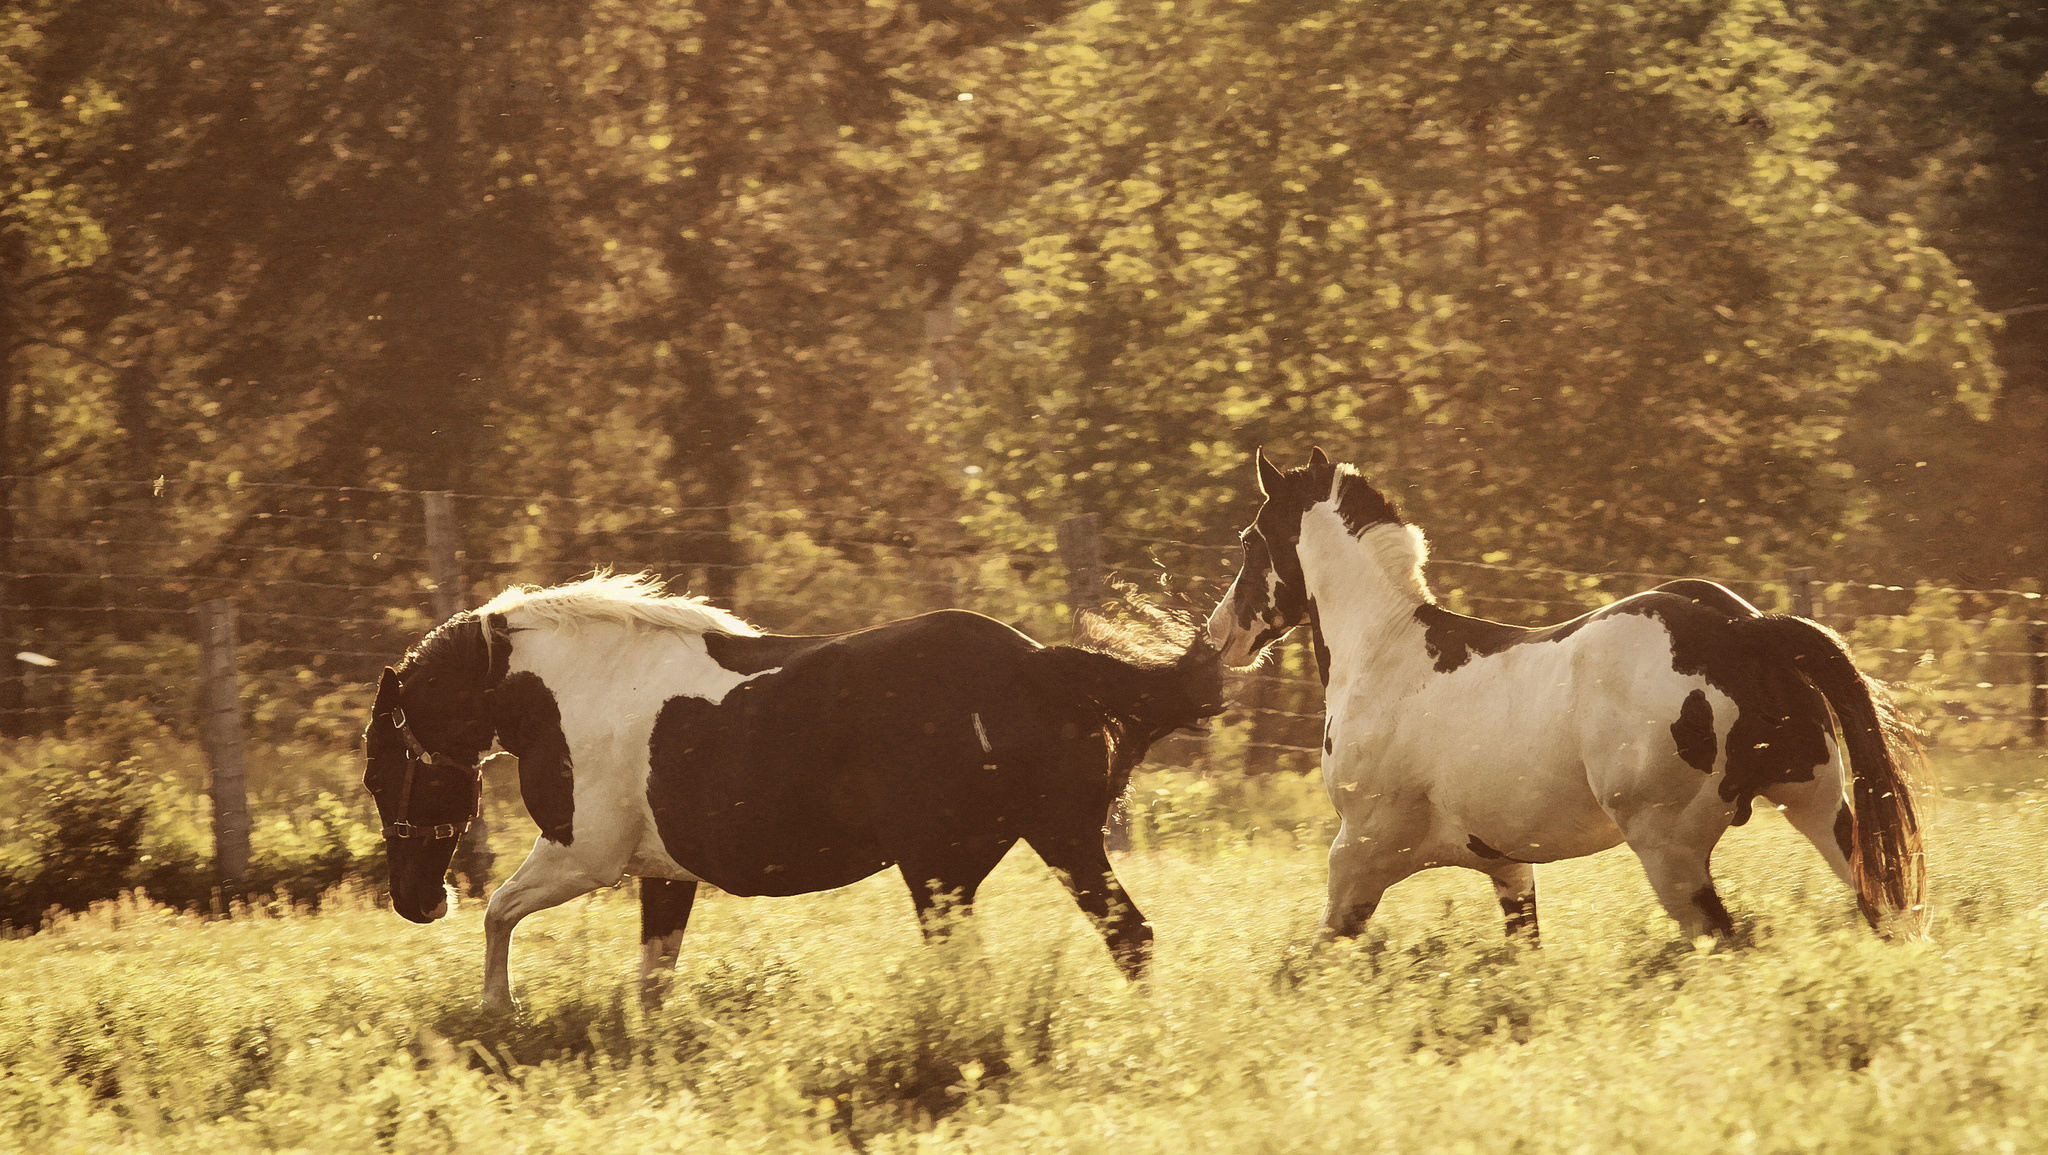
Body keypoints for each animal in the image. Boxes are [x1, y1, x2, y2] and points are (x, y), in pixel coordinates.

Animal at [361, 573, 1225, 1009]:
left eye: (379, 771)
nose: (417, 902)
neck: (571, 687)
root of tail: (1036, 660)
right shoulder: (664, 875)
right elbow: (652, 982)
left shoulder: (583, 855)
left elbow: (500, 912)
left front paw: (498, 1012)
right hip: (1052, 843)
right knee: (1130, 938)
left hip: (946, 871)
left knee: (1002, 965)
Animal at [1206, 448, 1927, 945]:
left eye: (1250, 538)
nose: (1220, 634)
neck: (1385, 653)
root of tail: (1738, 630)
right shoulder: (1506, 866)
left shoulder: (1359, 852)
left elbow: (1310, 961)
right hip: (1820, 808)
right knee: (1884, 911)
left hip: (1672, 852)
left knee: (1726, 941)